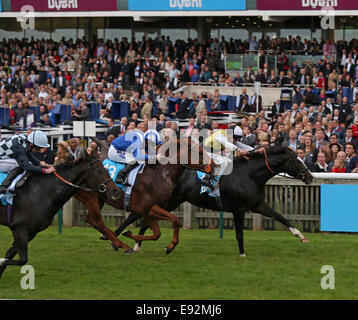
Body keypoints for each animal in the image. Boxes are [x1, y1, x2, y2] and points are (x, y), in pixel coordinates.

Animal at [74, 138, 217, 255]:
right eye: (199, 152)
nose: (215, 166)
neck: (161, 174)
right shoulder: (149, 207)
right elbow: (170, 224)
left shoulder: (150, 210)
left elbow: (159, 231)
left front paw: (168, 246)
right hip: (91, 197)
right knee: (94, 220)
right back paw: (117, 242)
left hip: (99, 199)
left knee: (91, 220)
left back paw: (114, 240)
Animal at [103, 146, 314, 256]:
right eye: (296, 160)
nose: (310, 177)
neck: (250, 175)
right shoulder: (239, 209)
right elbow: (239, 234)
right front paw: (242, 253)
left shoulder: (258, 205)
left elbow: (281, 218)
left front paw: (301, 236)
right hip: (166, 202)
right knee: (136, 217)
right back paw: (118, 239)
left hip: (168, 203)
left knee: (144, 219)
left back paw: (133, 243)